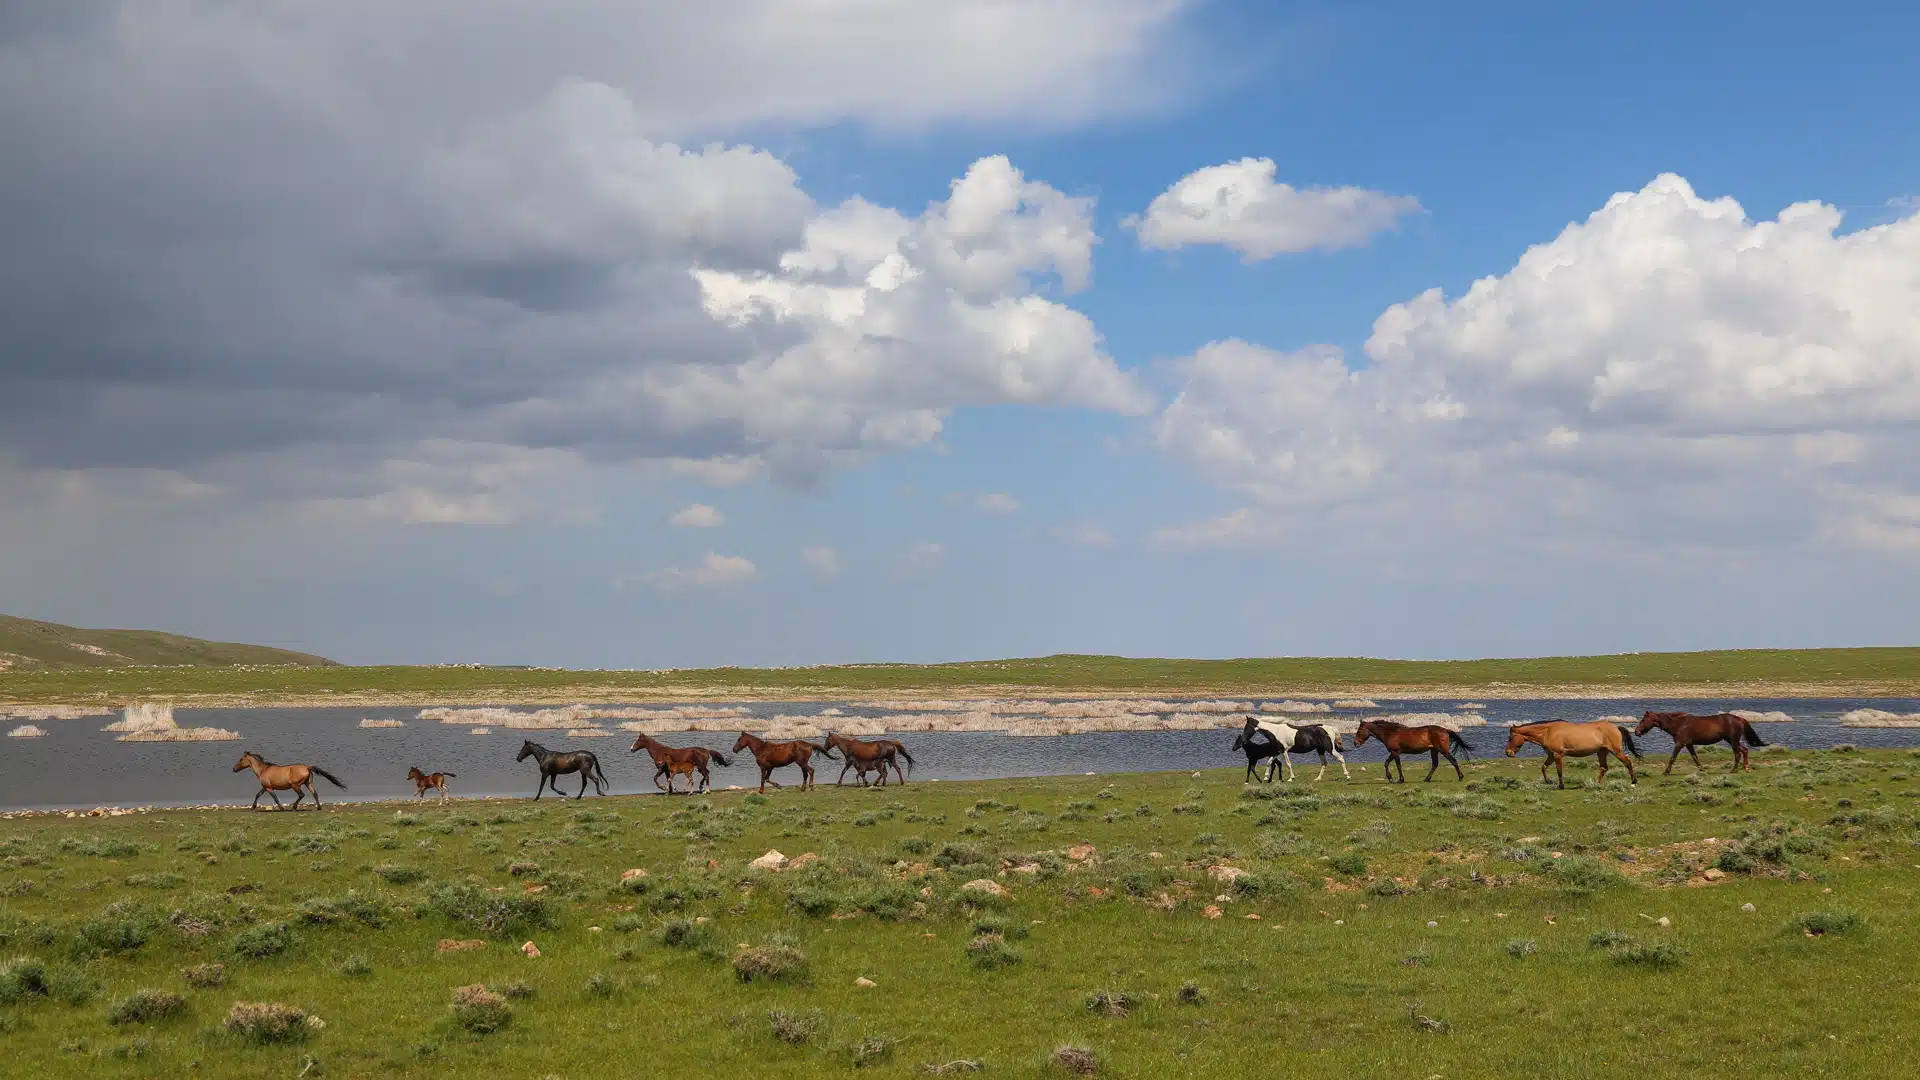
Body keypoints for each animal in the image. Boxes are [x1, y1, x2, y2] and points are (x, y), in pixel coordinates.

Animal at [1504, 721, 1639, 788]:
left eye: (1510, 738)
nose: (1508, 753)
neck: (1548, 732)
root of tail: (1616, 727)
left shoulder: (1557, 755)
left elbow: (1559, 771)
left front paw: (1561, 785)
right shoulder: (1551, 755)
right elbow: (1543, 767)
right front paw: (1548, 781)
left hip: (1616, 751)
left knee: (1627, 762)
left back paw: (1634, 781)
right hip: (1601, 752)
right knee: (1603, 768)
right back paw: (1595, 784)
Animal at [1634, 710, 1765, 774]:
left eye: (1643, 720)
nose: (1636, 732)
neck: (1679, 725)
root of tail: (1741, 719)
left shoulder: (1680, 744)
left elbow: (1672, 758)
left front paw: (1666, 772)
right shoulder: (1688, 744)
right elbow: (1695, 757)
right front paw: (1702, 770)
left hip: (1733, 740)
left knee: (1738, 753)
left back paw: (1734, 770)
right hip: (1732, 740)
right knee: (1744, 750)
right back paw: (1746, 768)